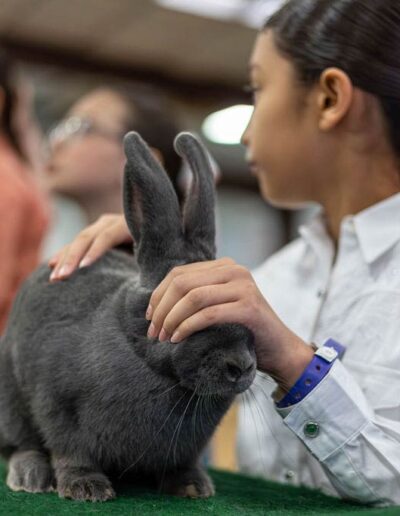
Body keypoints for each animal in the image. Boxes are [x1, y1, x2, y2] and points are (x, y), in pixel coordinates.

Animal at [0, 132, 256, 502]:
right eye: (185, 307)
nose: (241, 366)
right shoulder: (57, 403)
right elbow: (70, 449)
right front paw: (86, 488)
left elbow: (184, 463)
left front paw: (193, 487)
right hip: (10, 401)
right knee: (20, 444)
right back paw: (30, 476)